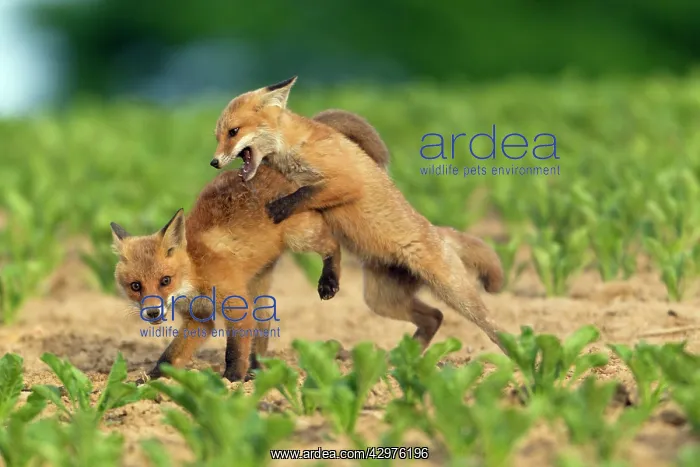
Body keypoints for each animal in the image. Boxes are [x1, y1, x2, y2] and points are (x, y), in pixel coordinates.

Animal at [111, 109, 400, 383]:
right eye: (135, 286)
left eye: (165, 280)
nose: (152, 312)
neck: (195, 271)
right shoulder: (199, 319)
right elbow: (170, 356)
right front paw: (150, 381)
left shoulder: (235, 305)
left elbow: (233, 351)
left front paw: (230, 382)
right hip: (260, 285)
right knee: (262, 332)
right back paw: (256, 370)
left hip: (300, 236)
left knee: (333, 246)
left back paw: (328, 281)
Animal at [209, 76, 510, 356]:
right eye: (218, 136)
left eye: (233, 132)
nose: (213, 162)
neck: (294, 146)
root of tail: (438, 231)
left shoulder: (348, 181)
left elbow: (305, 192)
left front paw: (279, 208)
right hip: (381, 300)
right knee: (435, 317)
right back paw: (401, 361)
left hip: (453, 292)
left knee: (492, 326)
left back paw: (516, 357)